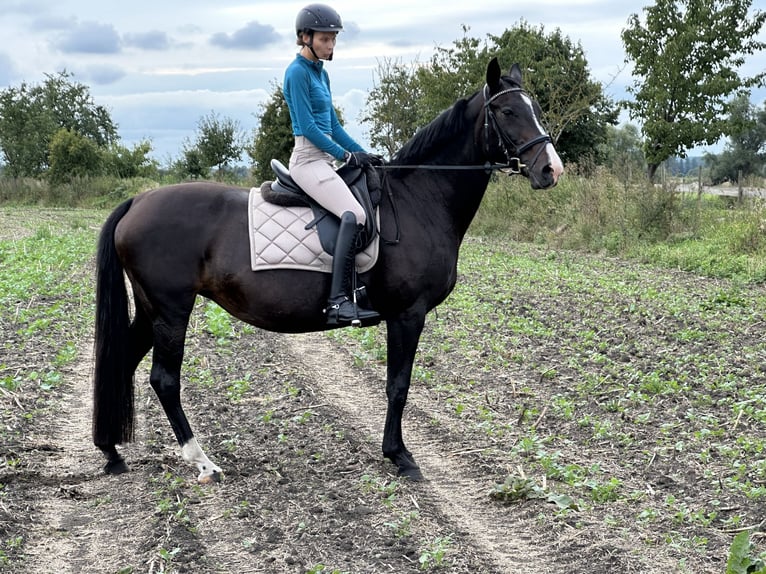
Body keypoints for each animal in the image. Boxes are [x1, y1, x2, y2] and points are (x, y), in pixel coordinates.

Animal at [94, 58, 564, 484]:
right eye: (508, 112)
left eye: (536, 109)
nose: (551, 169)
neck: (419, 199)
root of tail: (138, 202)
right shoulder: (408, 315)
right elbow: (398, 385)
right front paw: (400, 456)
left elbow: (397, 384)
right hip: (172, 309)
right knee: (164, 379)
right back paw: (203, 463)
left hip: (151, 310)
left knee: (125, 361)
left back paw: (111, 451)